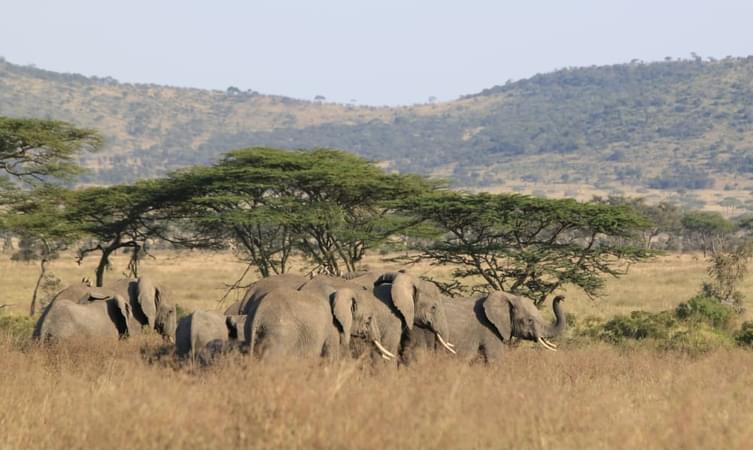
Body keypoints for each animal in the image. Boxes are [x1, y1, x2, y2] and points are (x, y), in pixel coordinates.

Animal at [406, 292, 564, 362]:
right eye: (530, 320)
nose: (561, 297)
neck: (508, 296)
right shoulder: (489, 329)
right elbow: (495, 360)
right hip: (420, 329)